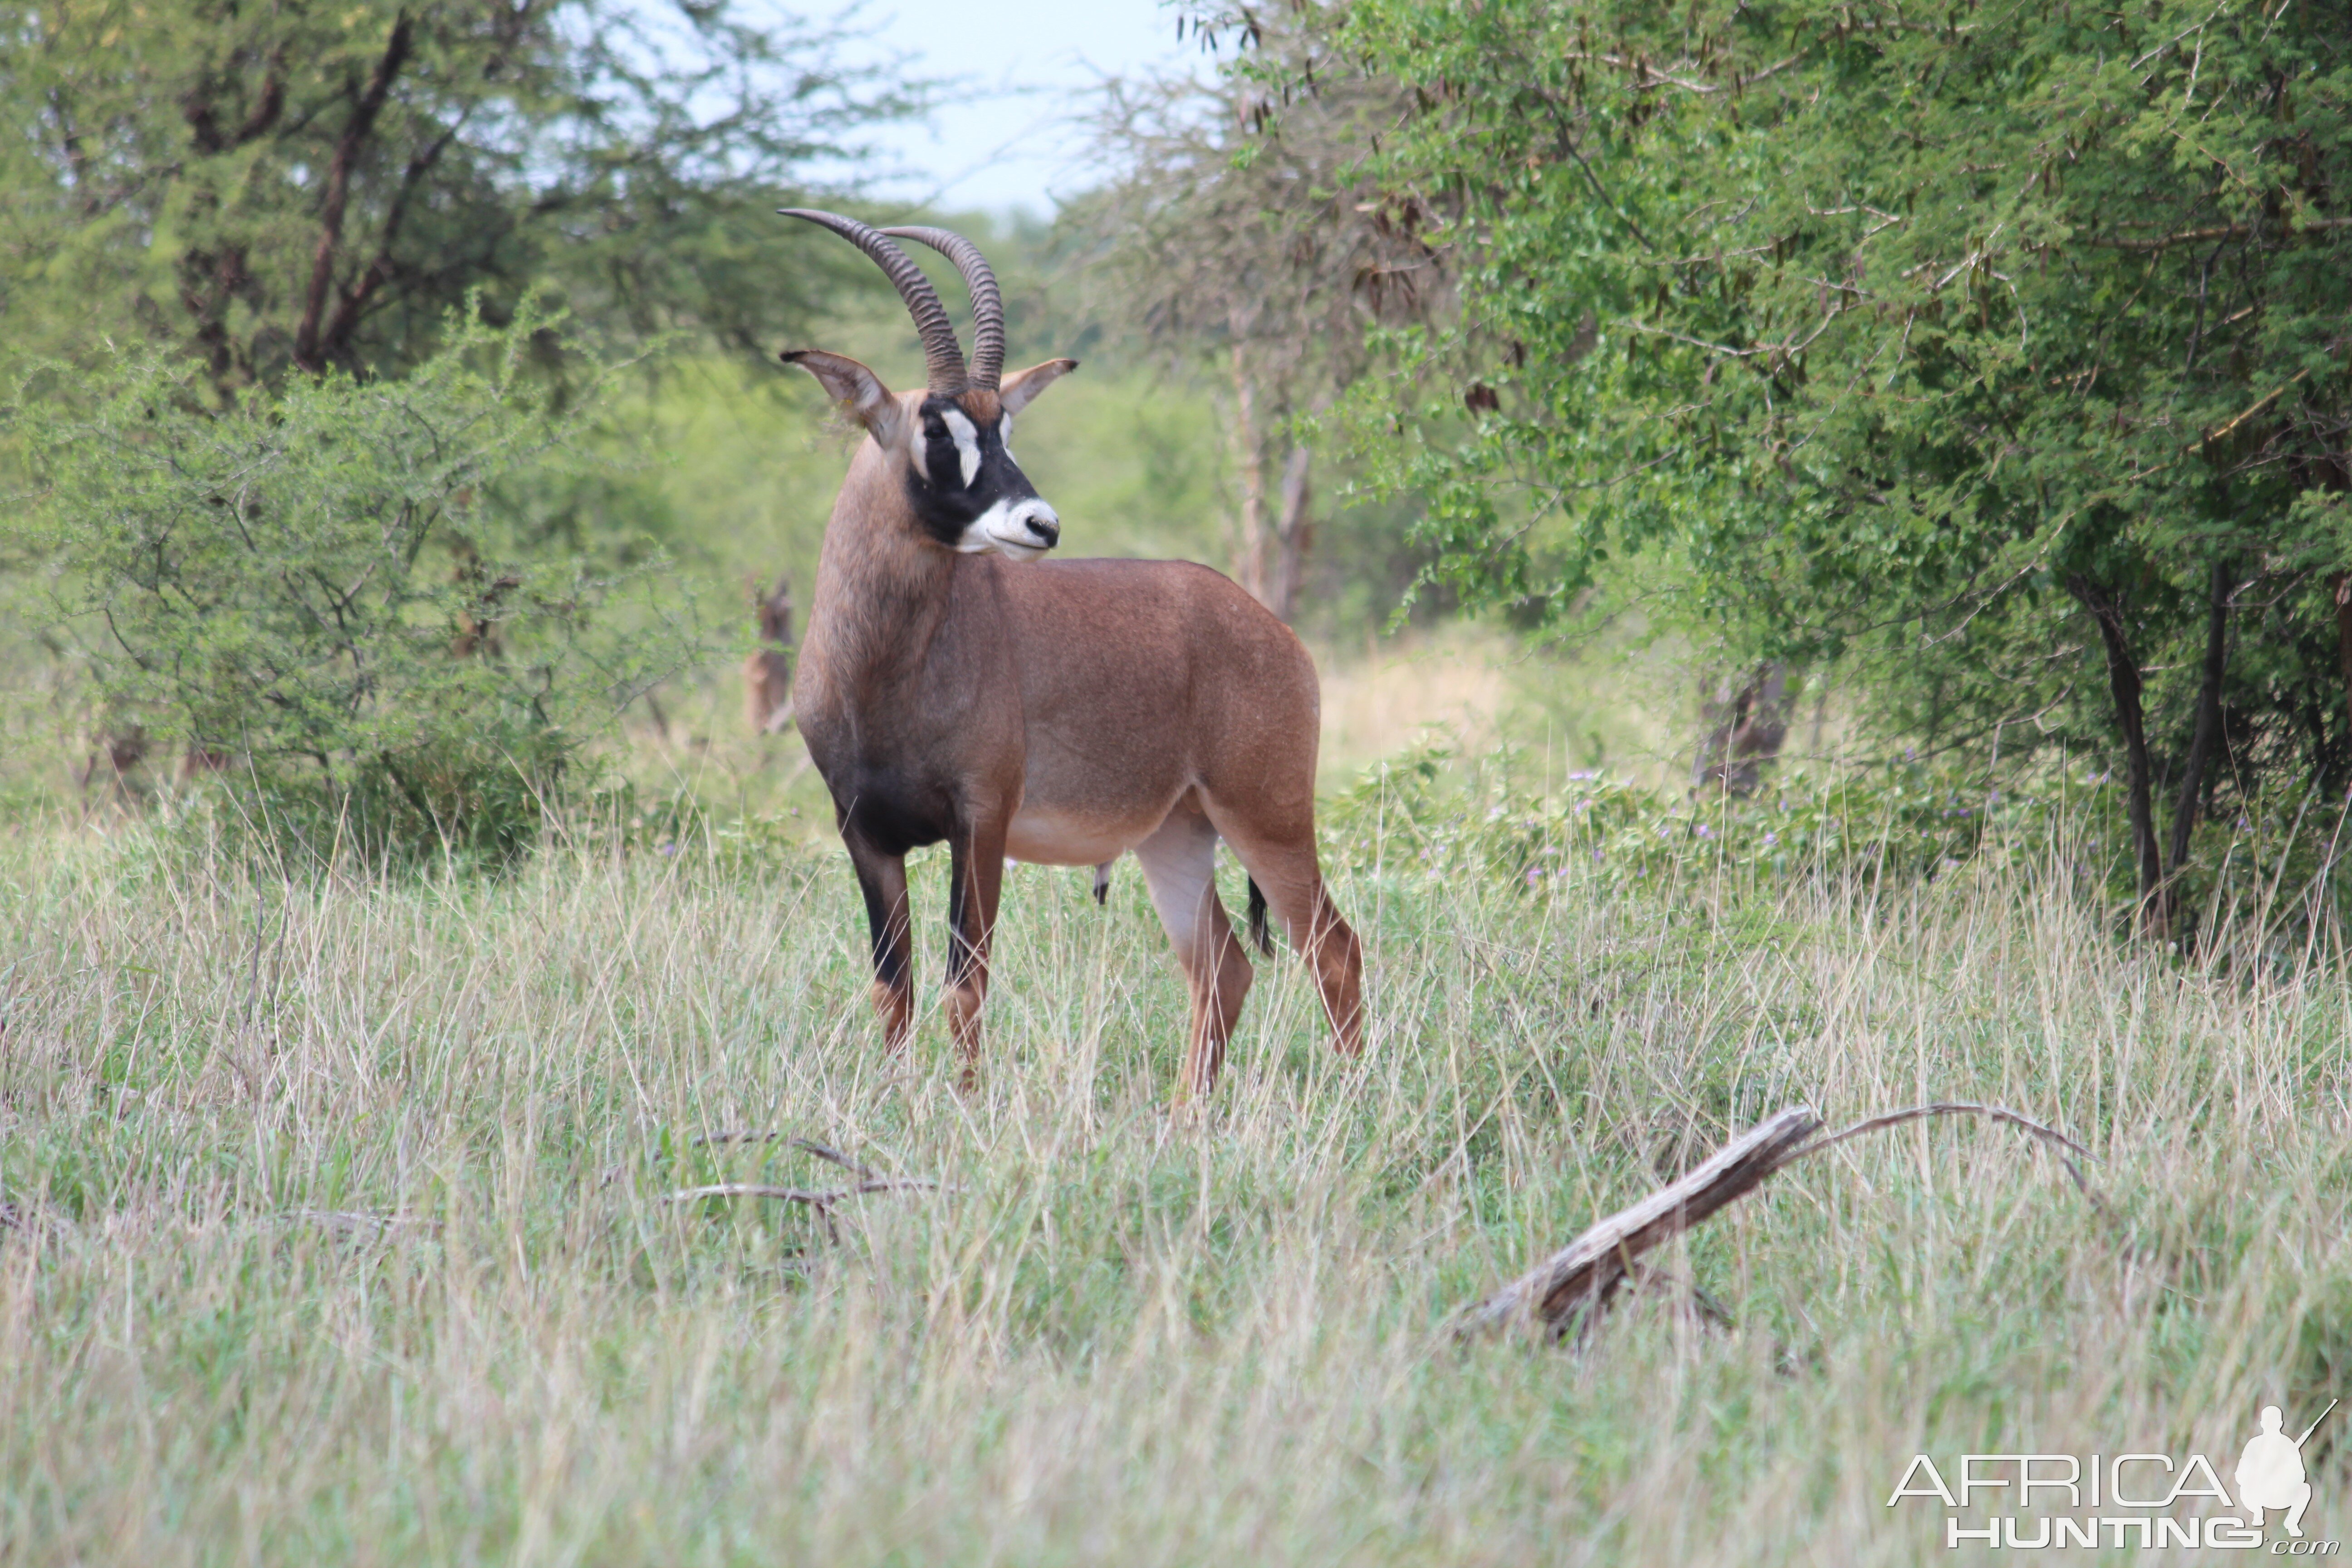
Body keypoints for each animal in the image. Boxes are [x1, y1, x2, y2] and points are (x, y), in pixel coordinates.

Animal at [771, 208, 1364, 1105]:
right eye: (934, 427)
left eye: (1004, 425)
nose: (1039, 524)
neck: (885, 669)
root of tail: (1271, 630)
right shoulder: (864, 833)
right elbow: (891, 986)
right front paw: (893, 1103)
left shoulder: (980, 820)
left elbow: (965, 979)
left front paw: (964, 1106)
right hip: (1177, 836)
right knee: (1223, 967)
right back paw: (1184, 1116)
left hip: (1267, 815)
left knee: (1333, 949)